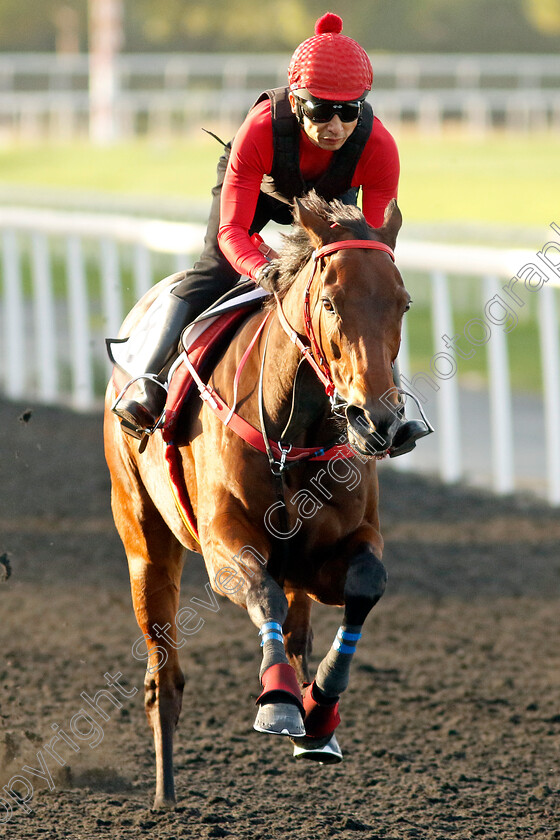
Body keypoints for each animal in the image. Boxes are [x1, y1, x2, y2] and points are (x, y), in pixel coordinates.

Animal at [105, 192, 410, 808]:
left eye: (404, 304)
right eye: (330, 302)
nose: (378, 421)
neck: (293, 428)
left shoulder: (337, 549)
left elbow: (365, 585)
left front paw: (319, 707)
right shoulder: (225, 546)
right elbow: (261, 591)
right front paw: (279, 703)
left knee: (296, 632)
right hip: (145, 544)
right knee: (164, 677)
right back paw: (165, 797)